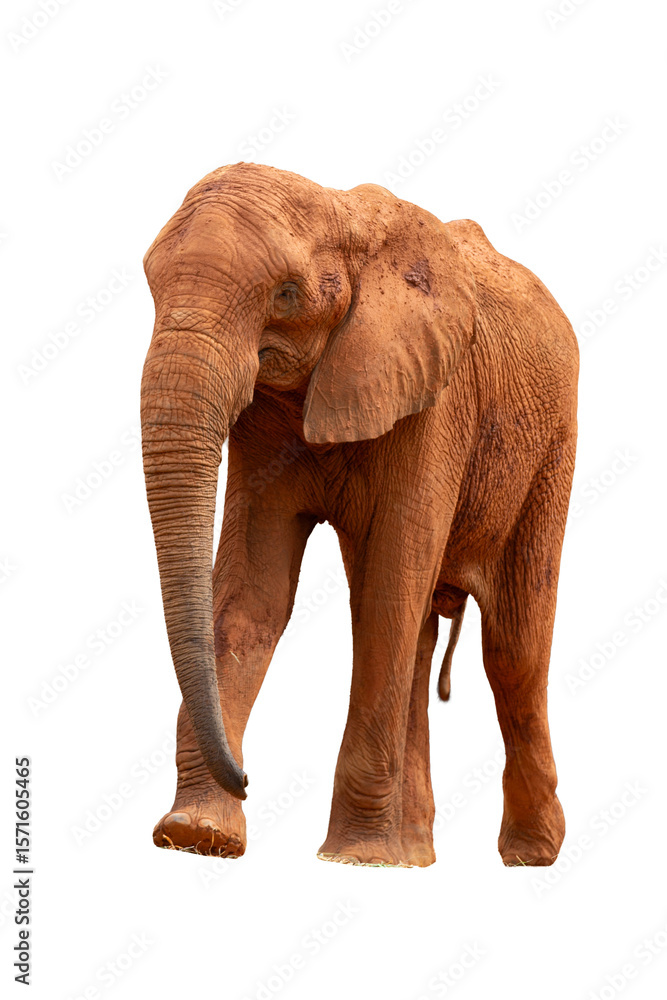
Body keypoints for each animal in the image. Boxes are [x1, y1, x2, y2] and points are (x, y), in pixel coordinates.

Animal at [140, 162, 578, 867]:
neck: (339, 213)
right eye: (151, 286)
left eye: (286, 294)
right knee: (425, 634)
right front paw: (196, 837)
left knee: (511, 646)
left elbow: (389, 594)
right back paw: (415, 856)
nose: (247, 776)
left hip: (551, 445)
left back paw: (529, 857)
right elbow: (253, 598)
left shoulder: (436, 400)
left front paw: (353, 858)